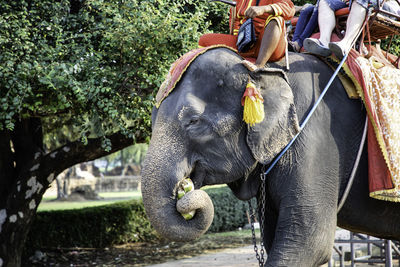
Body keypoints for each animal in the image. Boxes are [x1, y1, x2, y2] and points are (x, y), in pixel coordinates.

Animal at [140, 48, 400, 267]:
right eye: (152, 119)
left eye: (193, 121)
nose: (184, 188)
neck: (260, 68)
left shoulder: (317, 139)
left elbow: (309, 241)